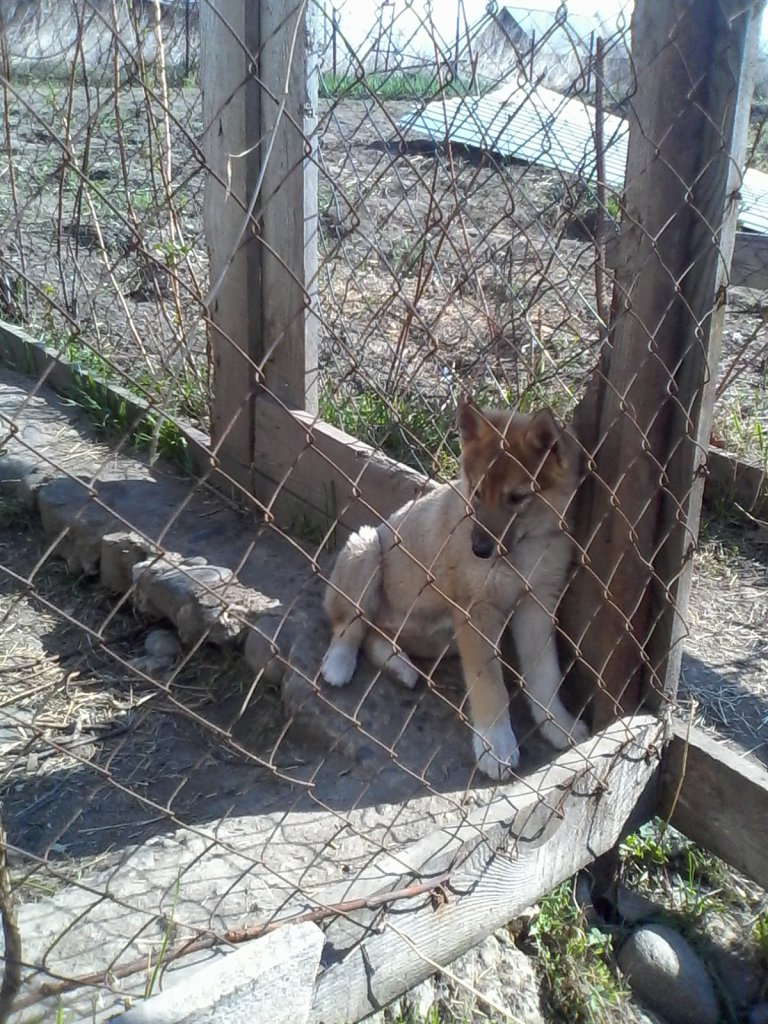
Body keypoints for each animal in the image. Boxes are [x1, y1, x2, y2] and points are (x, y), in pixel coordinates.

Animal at [320, 394, 588, 779]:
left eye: (517, 497)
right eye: (476, 492)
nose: (479, 550)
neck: (524, 551)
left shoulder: (537, 605)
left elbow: (545, 676)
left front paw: (558, 725)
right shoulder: (476, 614)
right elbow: (489, 684)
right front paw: (496, 746)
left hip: (441, 637)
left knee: (374, 636)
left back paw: (400, 666)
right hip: (367, 545)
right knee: (349, 627)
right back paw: (339, 665)